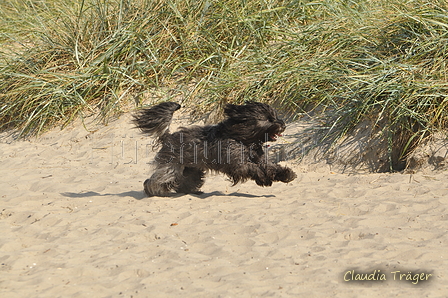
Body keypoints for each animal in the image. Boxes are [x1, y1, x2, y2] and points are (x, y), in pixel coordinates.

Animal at [131, 101, 296, 197]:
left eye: (275, 115)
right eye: (268, 119)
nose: (283, 125)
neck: (242, 139)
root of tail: (168, 136)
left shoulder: (260, 159)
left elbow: (270, 167)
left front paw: (286, 174)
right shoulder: (237, 164)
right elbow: (254, 169)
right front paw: (264, 179)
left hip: (192, 170)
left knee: (185, 181)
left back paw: (191, 191)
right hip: (171, 166)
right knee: (159, 179)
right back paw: (153, 191)